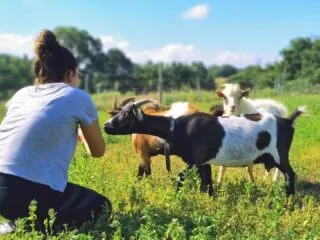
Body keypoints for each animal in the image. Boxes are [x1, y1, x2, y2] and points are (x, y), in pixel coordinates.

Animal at [104, 99, 304, 195]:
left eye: (126, 115)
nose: (106, 125)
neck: (175, 126)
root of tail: (287, 121)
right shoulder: (204, 163)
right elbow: (207, 184)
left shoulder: (196, 160)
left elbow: (180, 177)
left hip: (280, 156)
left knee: (290, 175)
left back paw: (290, 200)